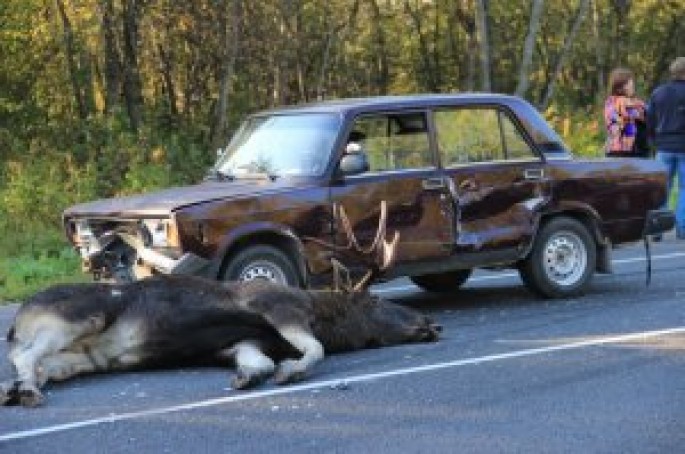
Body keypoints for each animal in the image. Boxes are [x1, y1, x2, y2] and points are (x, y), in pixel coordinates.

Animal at [0, 202, 438, 408]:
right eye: (376, 300)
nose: (431, 323)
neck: (325, 317)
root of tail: (16, 318)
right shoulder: (272, 304)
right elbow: (315, 349)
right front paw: (290, 370)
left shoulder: (241, 344)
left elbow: (258, 363)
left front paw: (248, 377)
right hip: (74, 318)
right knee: (24, 356)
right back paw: (25, 392)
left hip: (80, 358)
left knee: (41, 366)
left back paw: (15, 390)